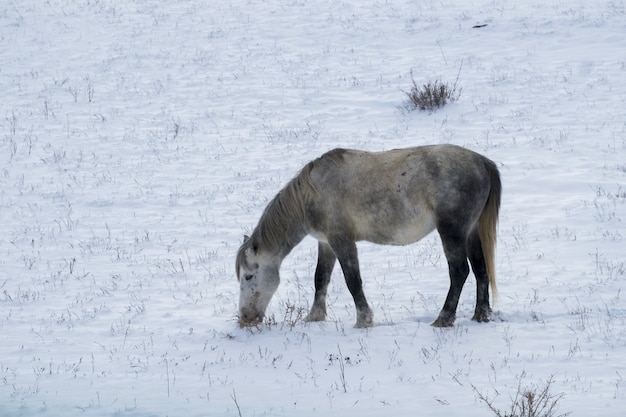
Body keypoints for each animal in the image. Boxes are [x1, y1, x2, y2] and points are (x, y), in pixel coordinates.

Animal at [236, 145, 500, 326]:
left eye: (249, 276)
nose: (246, 318)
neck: (311, 194)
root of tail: (483, 162)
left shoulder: (342, 241)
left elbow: (353, 281)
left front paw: (363, 320)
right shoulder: (326, 243)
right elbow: (320, 278)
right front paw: (314, 316)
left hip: (452, 232)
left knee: (459, 272)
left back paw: (444, 318)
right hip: (471, 232)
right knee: (481, 270)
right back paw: (481, 315)